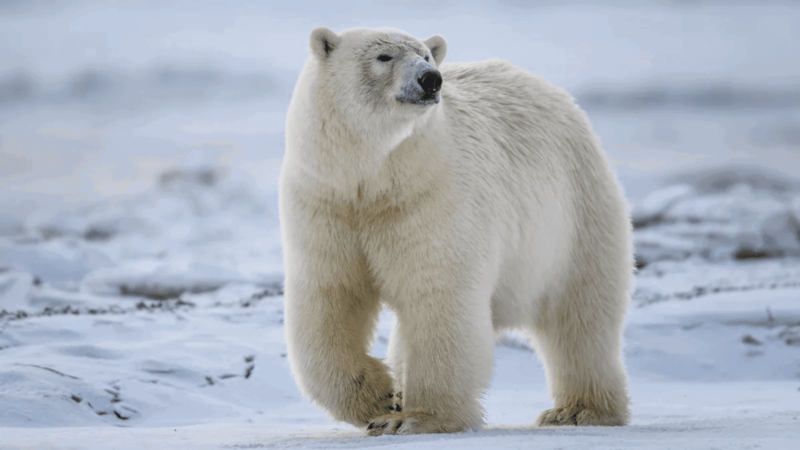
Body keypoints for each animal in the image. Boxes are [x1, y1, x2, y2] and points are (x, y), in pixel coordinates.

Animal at [280, 26, 632, 434]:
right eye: (384, 56)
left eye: (426, 56)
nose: (431, 79)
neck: (373, 181)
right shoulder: (326, 204)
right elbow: (330, 297)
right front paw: (381, 399)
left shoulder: (431, 197)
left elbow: (439, 295)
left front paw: (417, 418)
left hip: (573, 217)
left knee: (580, 317)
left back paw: (578, 410)